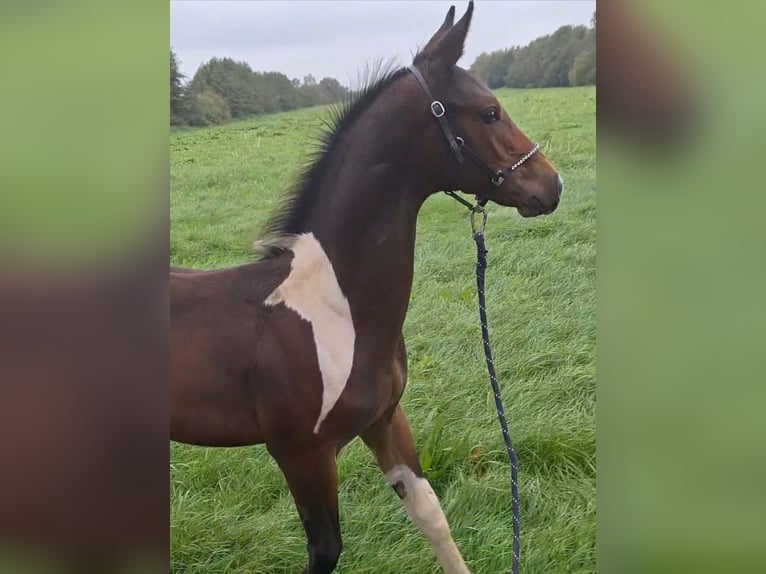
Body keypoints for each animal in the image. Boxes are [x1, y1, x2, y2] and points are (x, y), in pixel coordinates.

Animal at [170, 2, 564, 572]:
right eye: (489, 113)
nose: (552, 185)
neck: (336, 310)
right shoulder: (301, 454)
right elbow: (326, 550)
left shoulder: (385, 420)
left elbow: (432, 515)